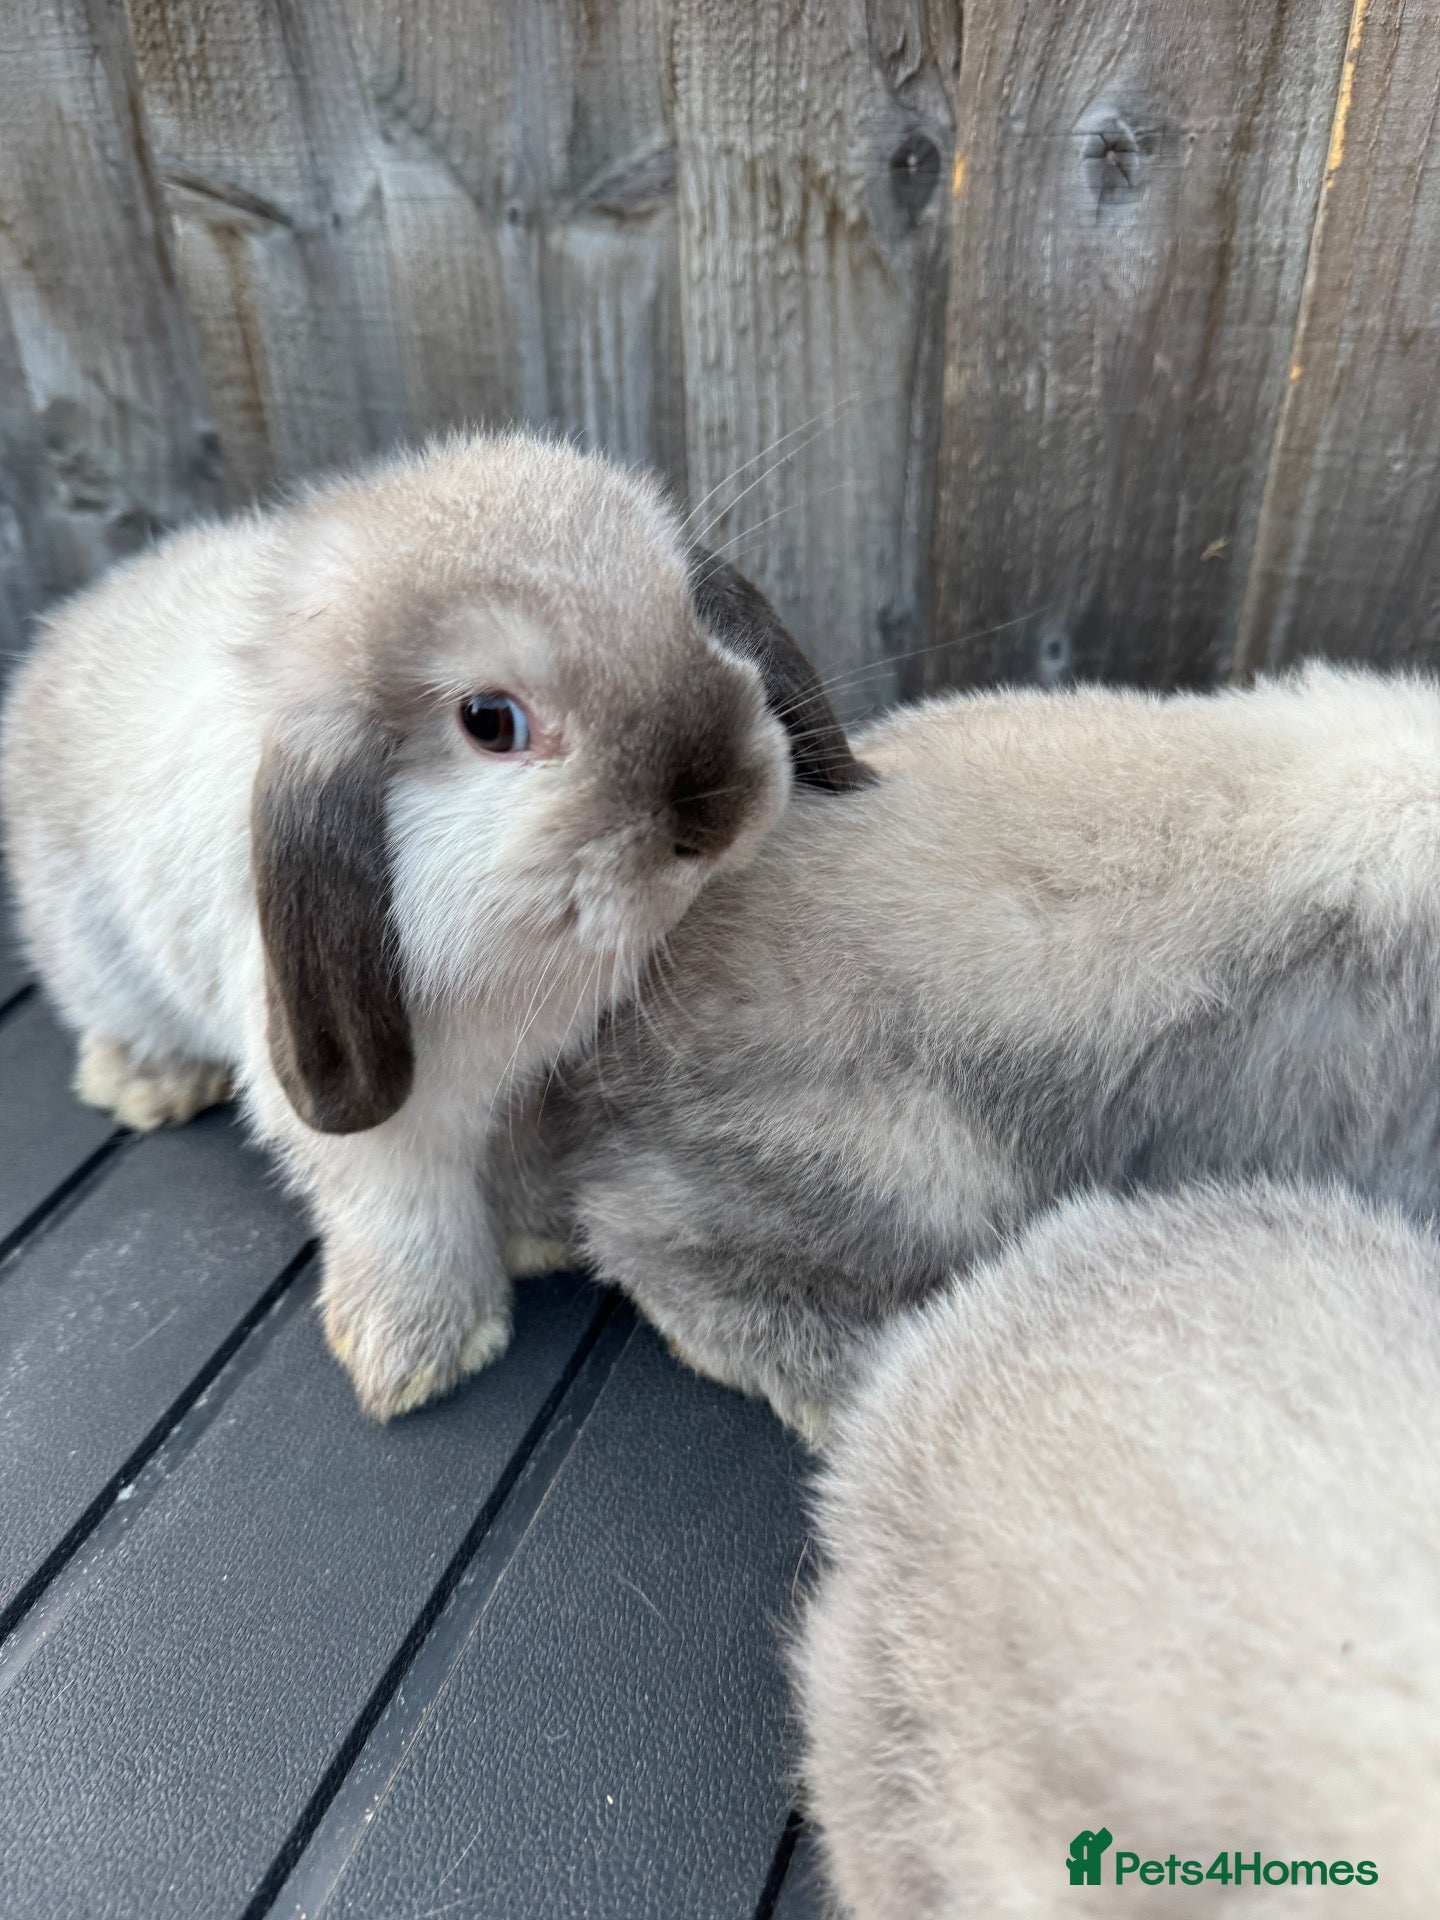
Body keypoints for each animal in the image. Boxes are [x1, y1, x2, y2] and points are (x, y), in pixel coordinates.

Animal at [0, 429, 870, 1421]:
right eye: (490, 722)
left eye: (692, 614)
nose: (719, 806)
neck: (521, 965)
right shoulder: (377, 1137)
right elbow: (406, 1222)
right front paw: (418, 1355)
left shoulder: (537, 1084)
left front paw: (538, 1236)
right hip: (93, 952)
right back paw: (151, 1086)